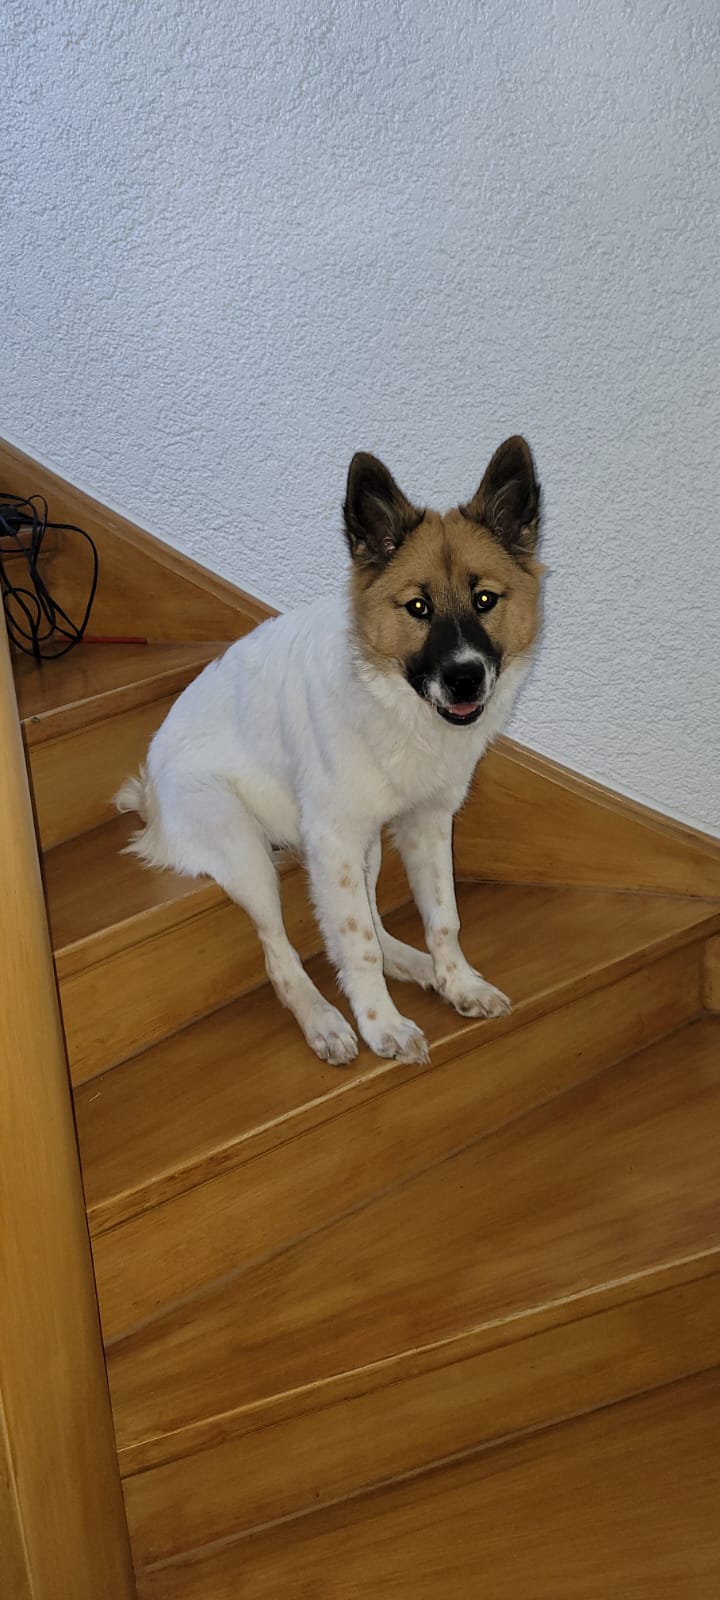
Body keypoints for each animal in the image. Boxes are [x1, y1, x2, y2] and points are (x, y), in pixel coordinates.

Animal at [116, 435, 543, 1067]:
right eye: (418, 608)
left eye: (485, 599)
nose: (466, 679)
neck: (395, 705)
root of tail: (149, 792)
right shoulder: (334, 839)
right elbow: (356, 944)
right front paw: (380, 1024)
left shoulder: (424, 824)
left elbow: (441, 918)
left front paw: (457, 982)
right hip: (247, 852)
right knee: (280, 954)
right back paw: (323, 1020)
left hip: (365, 847)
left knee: (369, 925)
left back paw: (413, 965)